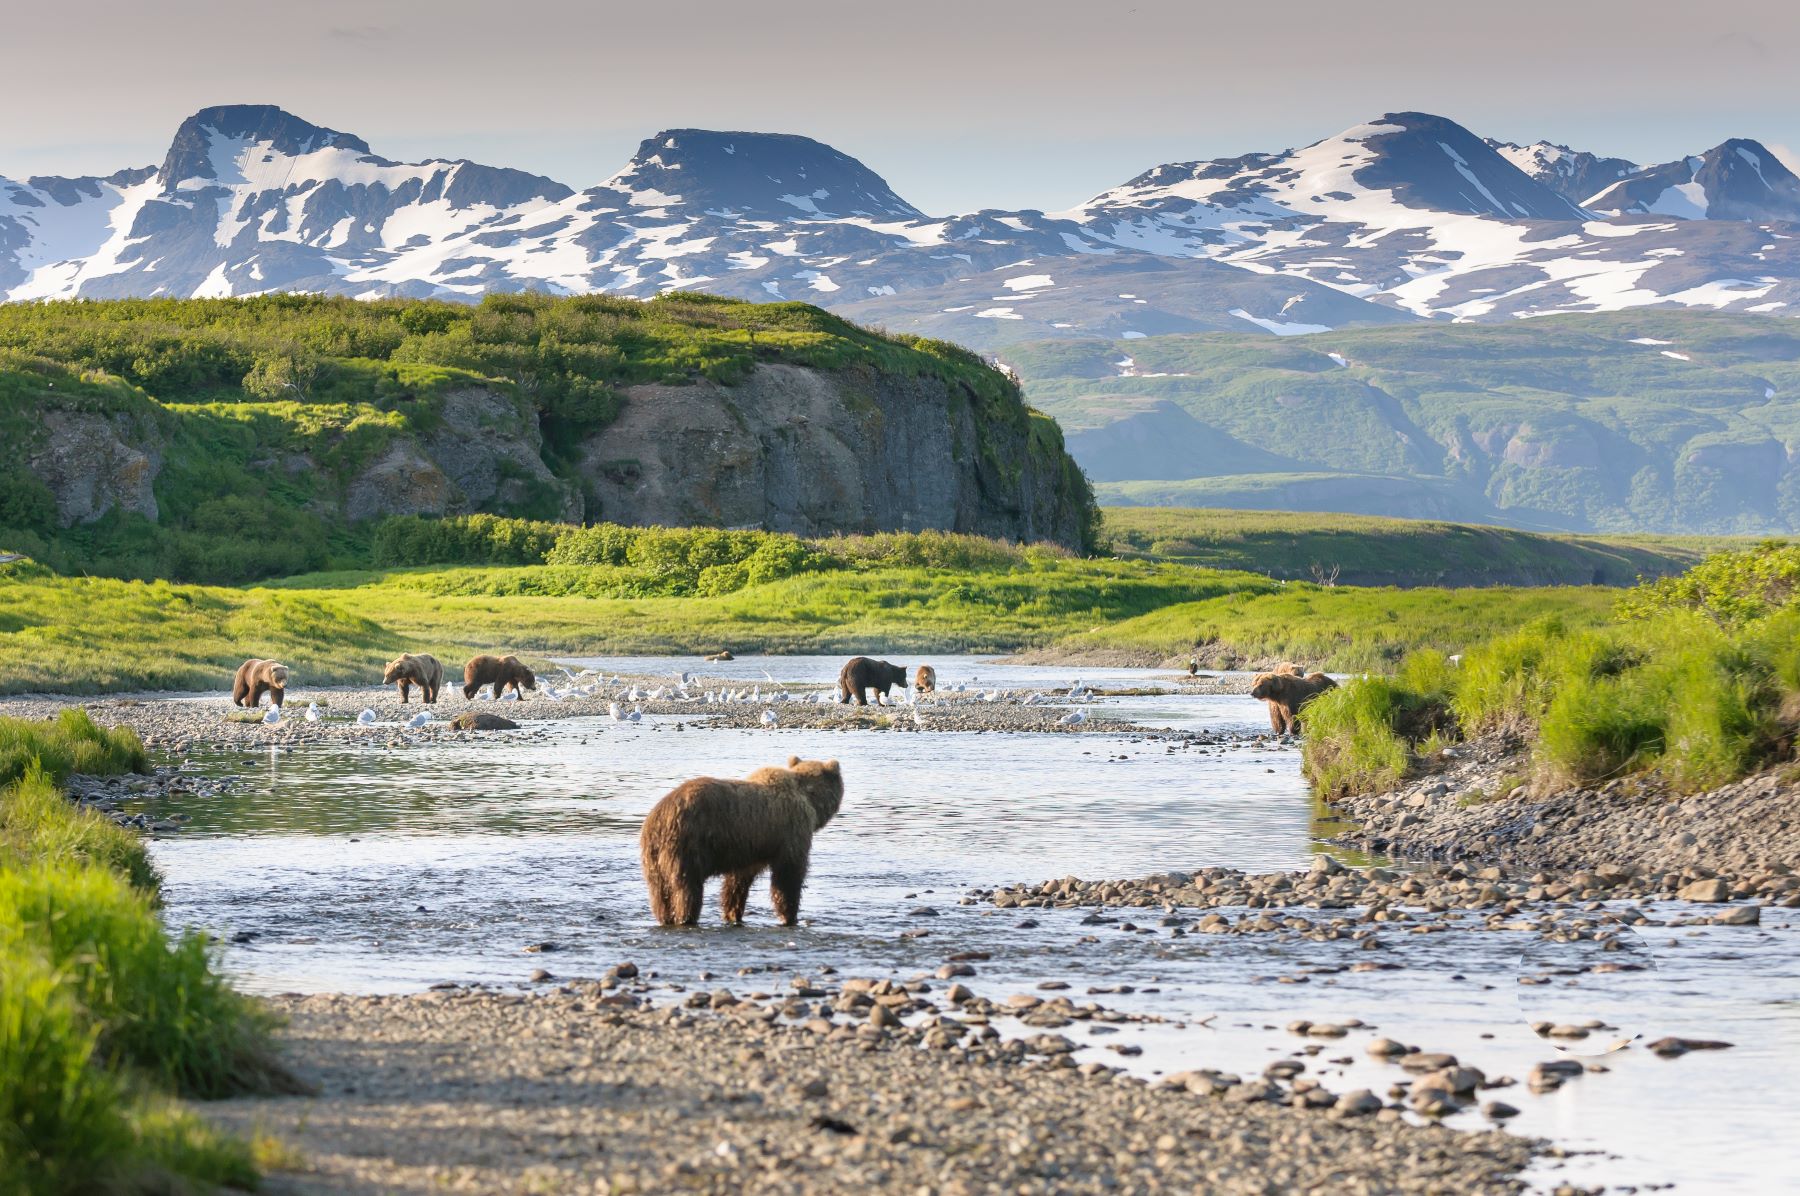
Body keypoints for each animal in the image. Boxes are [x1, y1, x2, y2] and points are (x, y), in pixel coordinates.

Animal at [639, 756, 844, 927]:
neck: (809, 799)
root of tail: (659, 818)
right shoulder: (791, 831)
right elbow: (788, 875)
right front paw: (790, 917)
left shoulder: (750, 849)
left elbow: (737, 882)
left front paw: (732, 914)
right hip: (688, 845)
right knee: (687, 890)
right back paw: (686, 918)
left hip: (653, 858)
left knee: (659, 893)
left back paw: (665, 918)